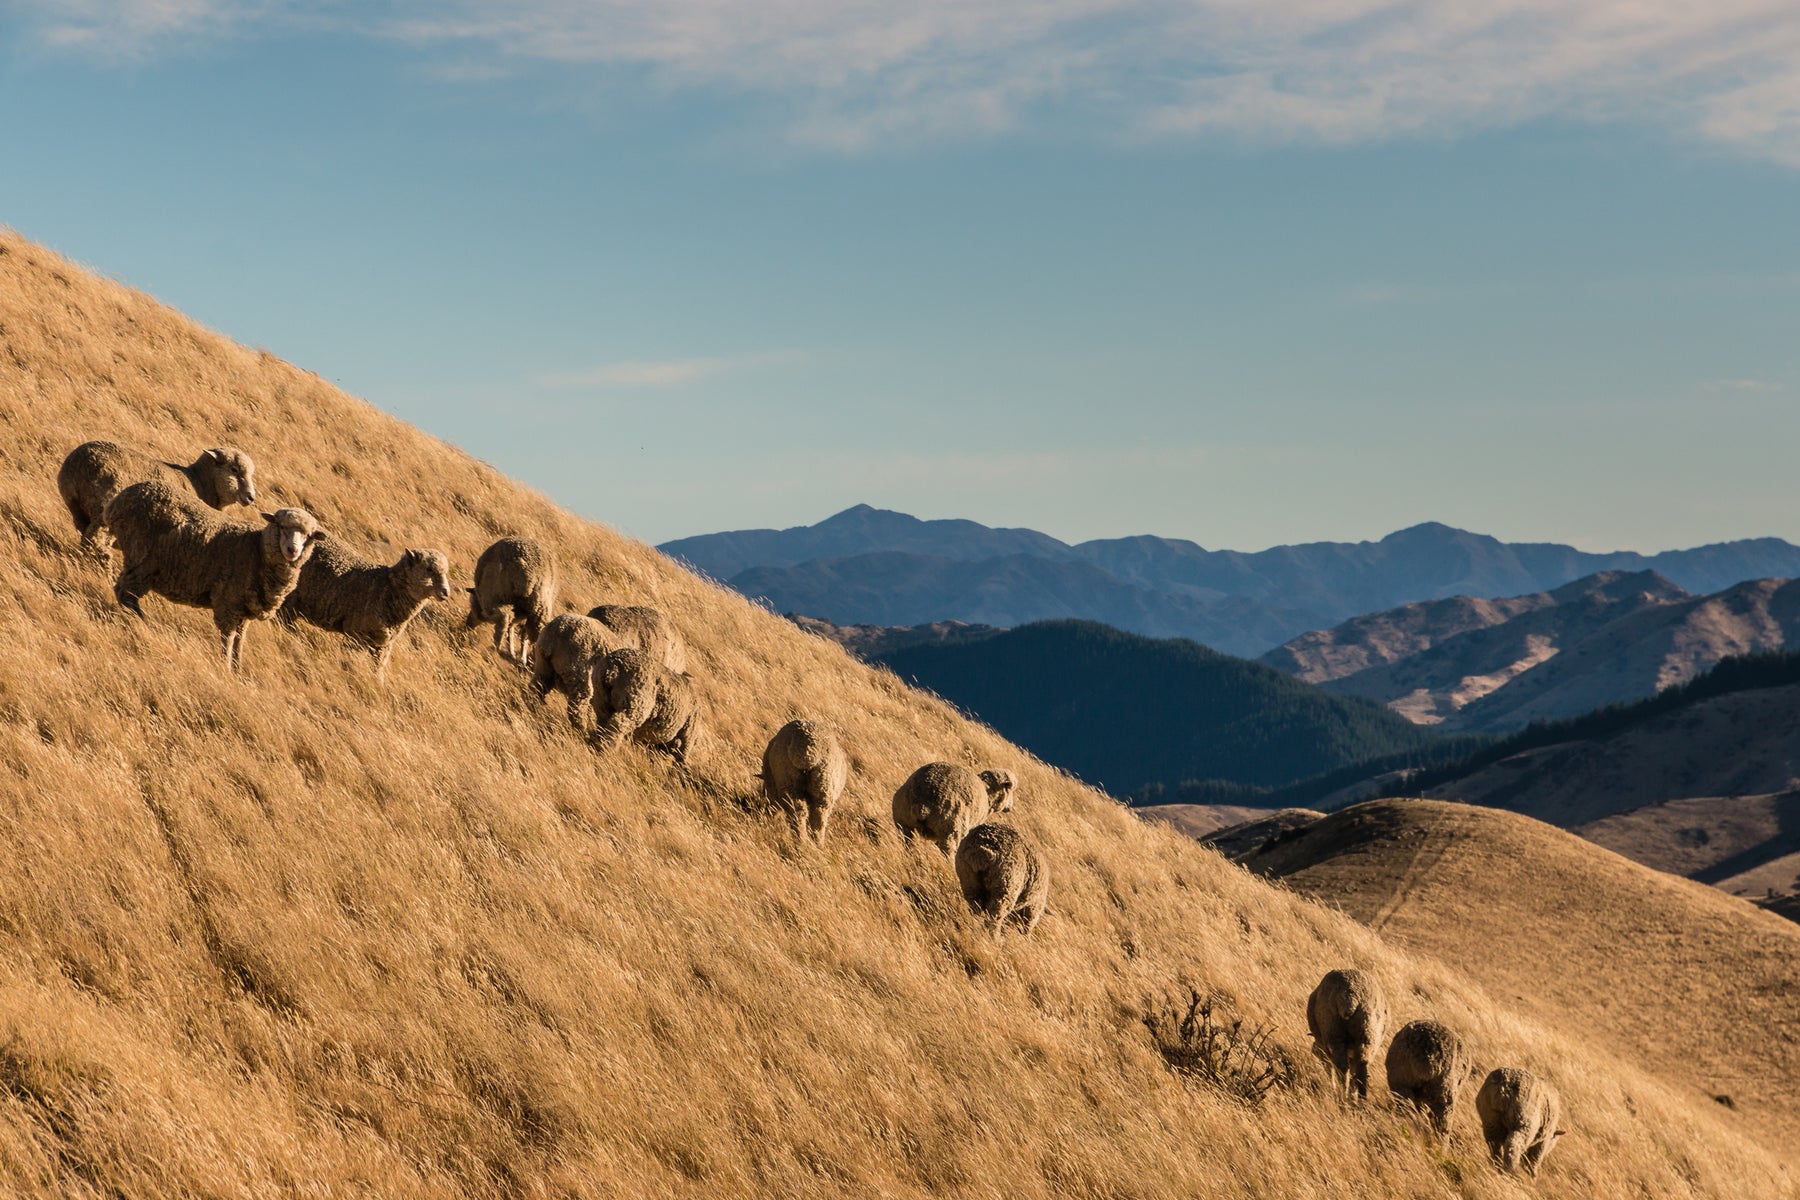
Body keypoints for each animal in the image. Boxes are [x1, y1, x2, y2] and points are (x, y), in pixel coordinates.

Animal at [58, 440, 257, 554]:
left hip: (77, 507)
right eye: (234, 470)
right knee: (96, 540)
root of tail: (79, 462)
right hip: (105, 506)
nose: (251, 497)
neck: (198, 481)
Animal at [104, 478, 324, 672]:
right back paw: (140, 621)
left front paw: (237, 669)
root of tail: (119, 500)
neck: (257, 550)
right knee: (125, 592)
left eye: (308, 535)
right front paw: (225, 667)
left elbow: (239, 641)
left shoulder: (243, 612)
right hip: (140, 557)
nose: (292, 550)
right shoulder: (228, 603)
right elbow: (228, 638)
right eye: (282, 526)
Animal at [280, 543, 453, 676]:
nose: (446, 592)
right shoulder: (355, 635)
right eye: (429, 569)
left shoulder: (382, 645)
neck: (387, 589)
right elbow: (349, 661)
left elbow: (377, 671)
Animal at [464, 536, 554, 665]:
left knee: (503, 619)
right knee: (537, 634)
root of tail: (526, 568)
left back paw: (495, 649)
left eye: (472, 606)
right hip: (540, 606)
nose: (467, 625)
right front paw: (516, 654)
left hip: (494, 595)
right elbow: (515, 631)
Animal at [1310, 971, 1389, 1101]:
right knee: (1361, 1068)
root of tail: (1350, 998)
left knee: (1342, 1067)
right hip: (1367, 1034)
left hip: (1334, 1033)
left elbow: (1329, 1067)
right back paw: (1360, 1099)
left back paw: (1343, 1095)